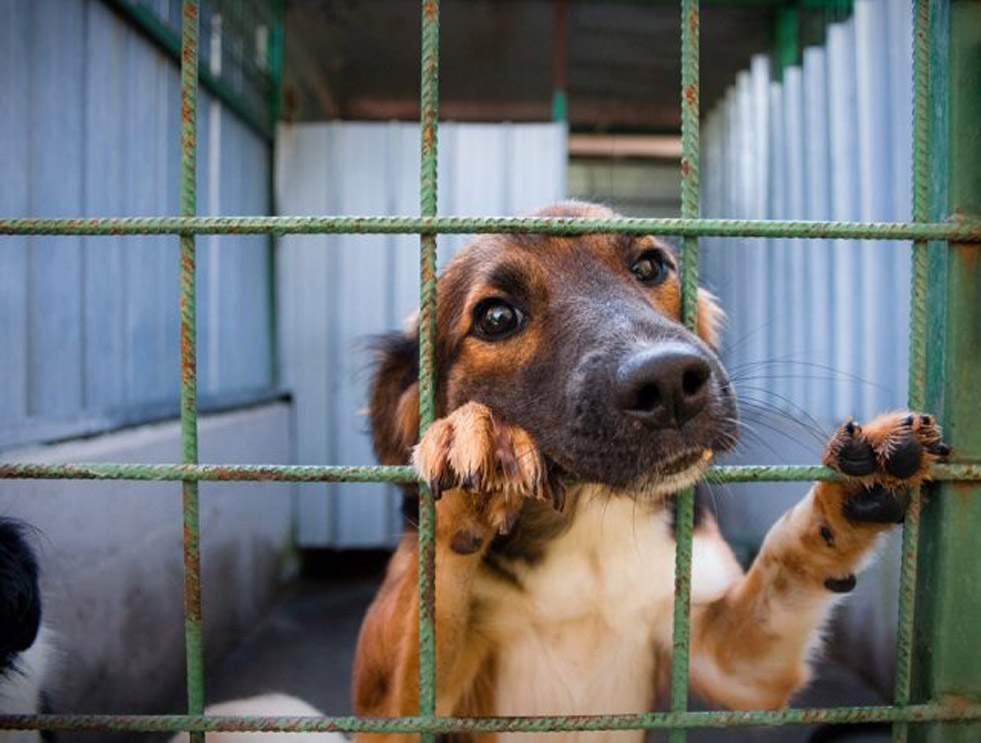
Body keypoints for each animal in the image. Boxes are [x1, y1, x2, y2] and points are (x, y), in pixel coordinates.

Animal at [352, 201, 948, 740]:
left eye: (649, 266)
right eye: (496, 318)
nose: (668, 383)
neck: (591, 524)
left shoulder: (731, 664)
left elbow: (786, 558)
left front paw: (847, 494)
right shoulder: (389, 712)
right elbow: (430, 598)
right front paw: (476, 440)